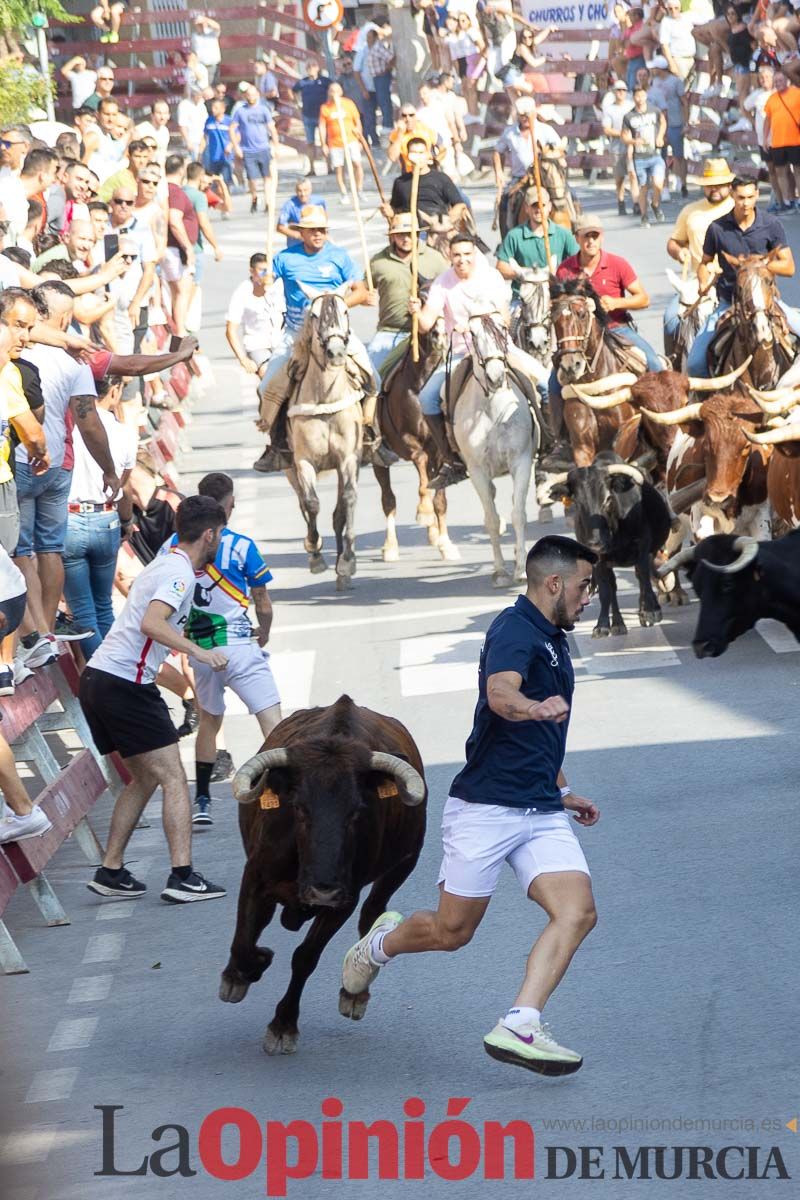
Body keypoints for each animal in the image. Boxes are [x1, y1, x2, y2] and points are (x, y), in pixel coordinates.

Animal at [215, 700, 429, 1056]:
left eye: (356, 811)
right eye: (300, 808)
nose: (322, 889)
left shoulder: (343, 899)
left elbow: (305, 957)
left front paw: (283, 1025)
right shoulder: (256, 877)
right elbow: (243, 938)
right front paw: (249, 968)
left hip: (401, 865)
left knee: (373, 913)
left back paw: (355, 995)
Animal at [371, 319, 460, 561]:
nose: (440, 334)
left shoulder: (440, 451)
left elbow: (440, 499)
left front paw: (446, 544)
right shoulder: (409, 442)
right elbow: (419, 462)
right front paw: (424, 512)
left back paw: (434, 533)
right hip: (378, 460)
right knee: (388, 499)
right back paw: (390, 546)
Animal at [450, 312, 537, 588]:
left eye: (503, 329)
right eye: (472, 334)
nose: (496, 376)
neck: (493, 408)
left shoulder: (522, 461)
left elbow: (518, 514)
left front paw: (521, 569)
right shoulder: (477, 470)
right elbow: (492, 519)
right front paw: (500, 571)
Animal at [546, 451, 671, 638]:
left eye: (607, 499)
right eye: (577, 503)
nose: (595, 542)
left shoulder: (642, 546)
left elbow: (643, 576)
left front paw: (650, 611)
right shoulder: (599, 560)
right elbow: (606, 591)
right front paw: (602, 625)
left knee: (642, 576)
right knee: (612, 587)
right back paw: (618, 624)